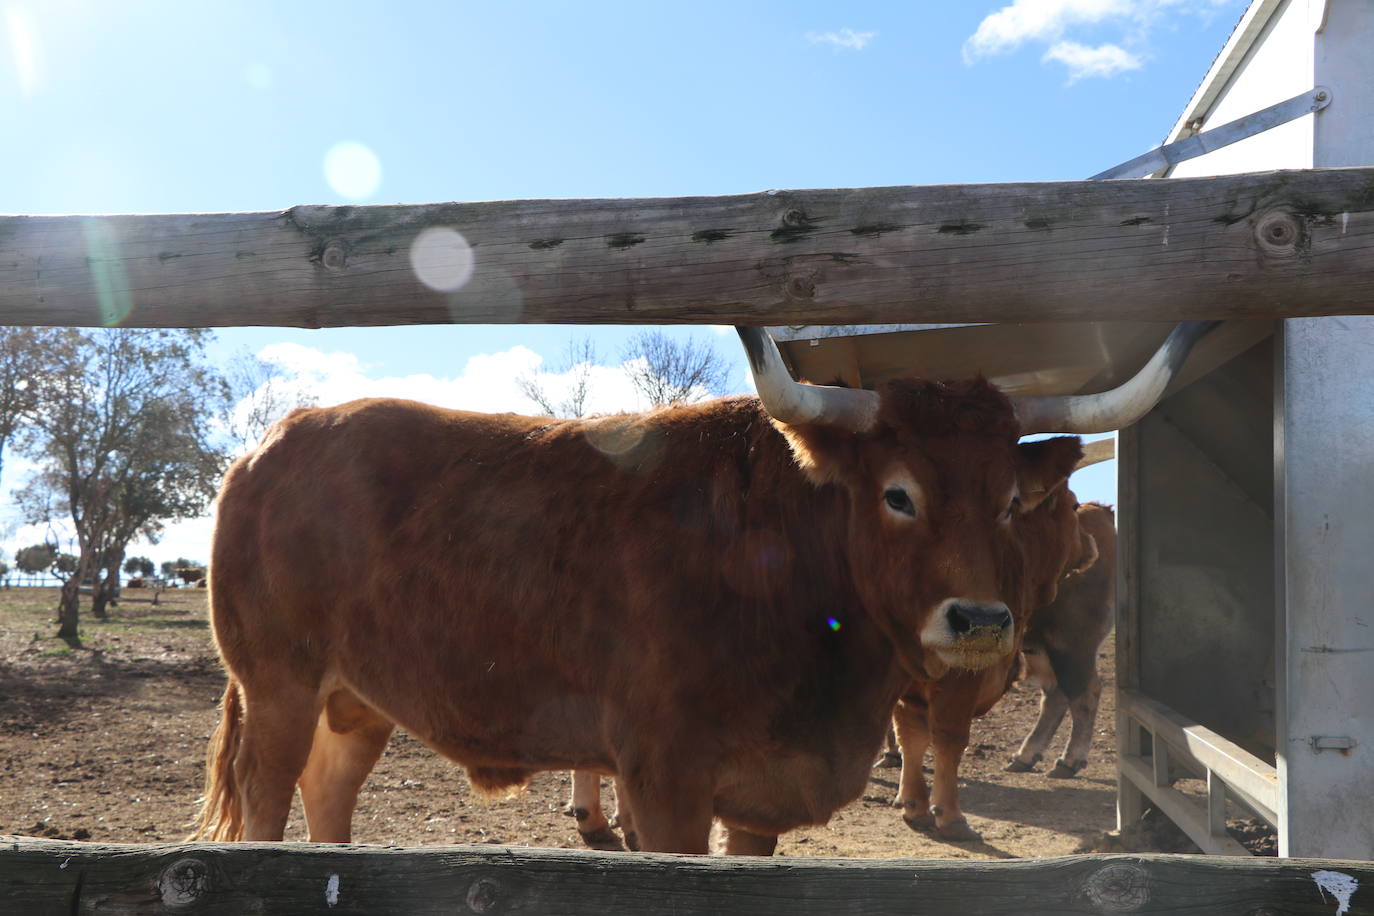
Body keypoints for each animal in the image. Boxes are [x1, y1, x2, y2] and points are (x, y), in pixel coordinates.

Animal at [190, 325, 1214, 856]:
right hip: (277, 688)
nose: (981, 620)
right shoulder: (666, 783)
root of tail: (272, 443)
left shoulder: (760, 796)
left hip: (354, 701)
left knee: (328, 796)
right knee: (268, 801)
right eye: (898, 494)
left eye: (1008, 501)